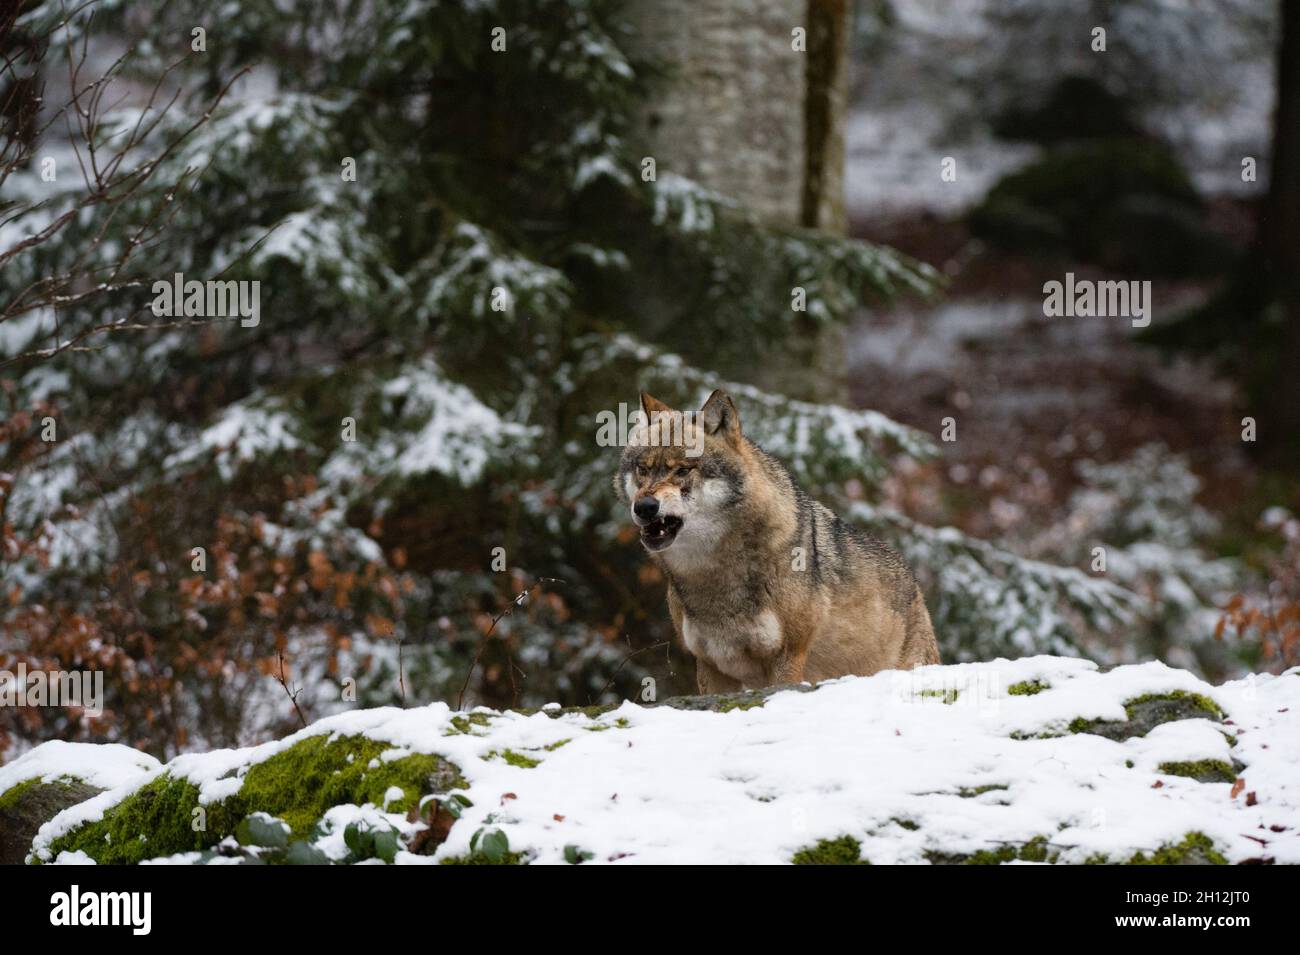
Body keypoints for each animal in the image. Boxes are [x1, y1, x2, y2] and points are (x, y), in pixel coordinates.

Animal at [614, 389, 940, 692]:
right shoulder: (710, 664)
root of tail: (914, 584)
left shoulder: (788, 655)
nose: (644, 507)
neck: (712, 574)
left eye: (683, 470)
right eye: (643, 469)